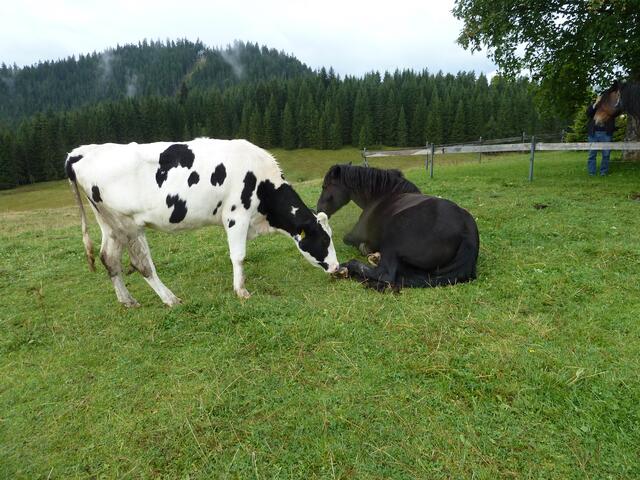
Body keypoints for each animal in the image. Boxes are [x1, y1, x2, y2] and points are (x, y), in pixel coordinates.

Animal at [316, 164, 479, 291]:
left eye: (325, 186)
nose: (318, 210)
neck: (382, 195)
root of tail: (467, 232)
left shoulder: (356, 234)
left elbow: (349, 240)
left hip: (393, 238)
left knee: (385, 274)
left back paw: (346, 268)